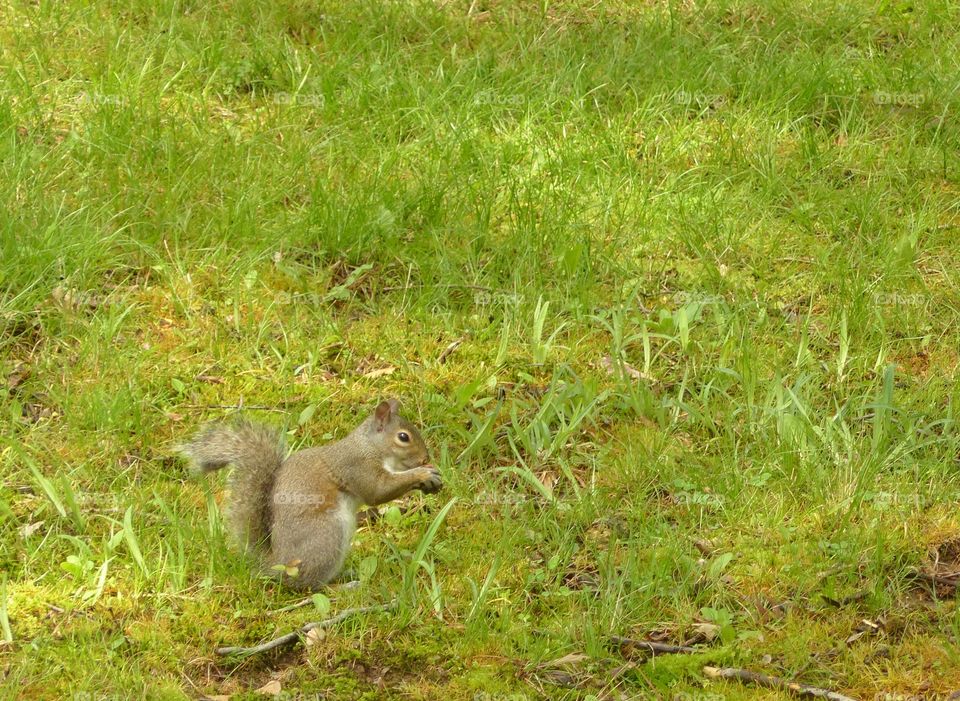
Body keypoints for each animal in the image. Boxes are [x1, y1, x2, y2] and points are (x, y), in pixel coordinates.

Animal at [178, 400, 440, 592]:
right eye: (403, 437)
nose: (425, 458)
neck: (370, 447)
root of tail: (278, 566)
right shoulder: (357, 467)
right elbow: (378, 491)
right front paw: (422, 474)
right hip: (328, 534)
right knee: (311, 586)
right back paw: (345, 587)